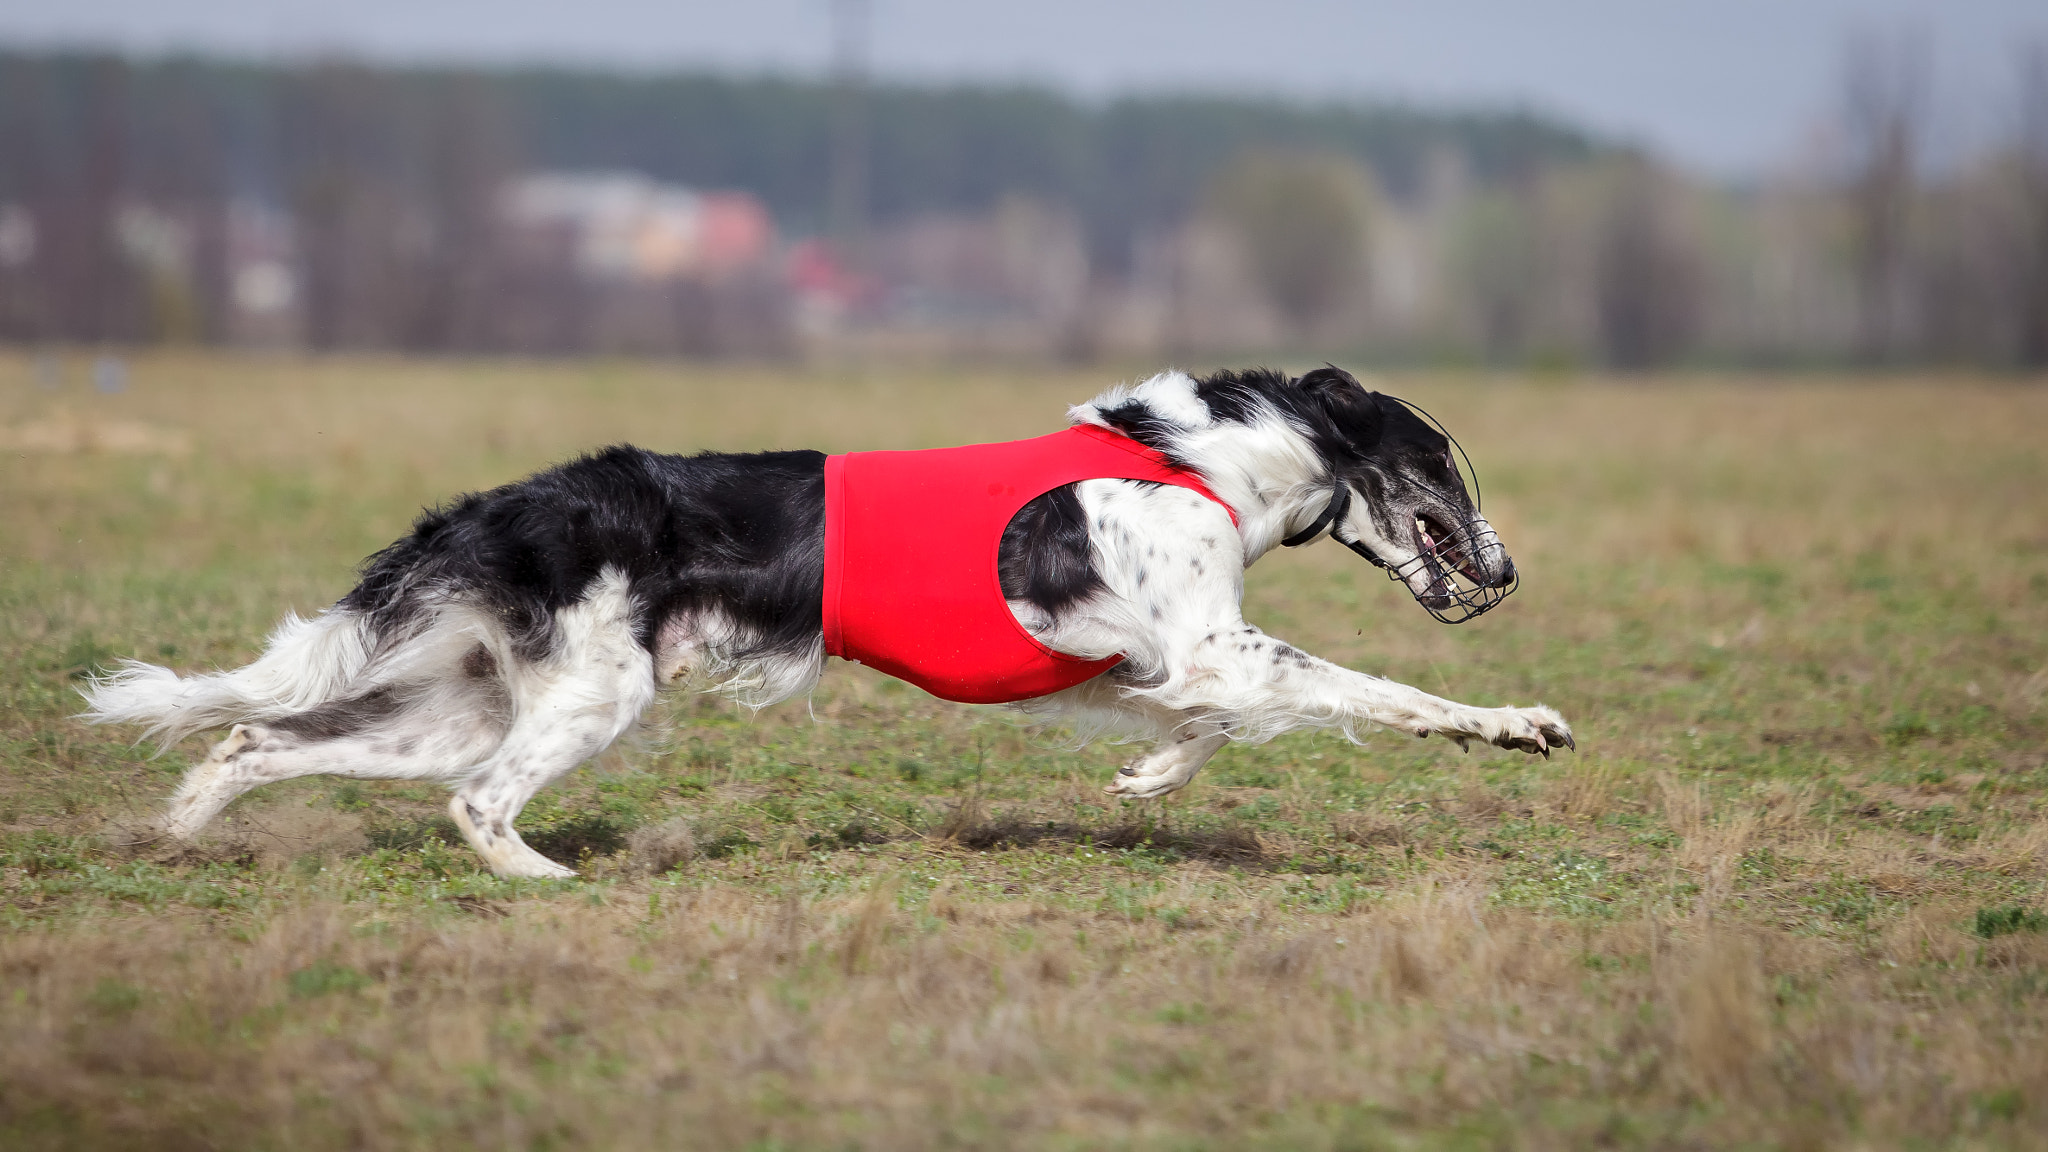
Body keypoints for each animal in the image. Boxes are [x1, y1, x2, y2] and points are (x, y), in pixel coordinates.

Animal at [83, 362, 1564, 873]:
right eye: (1444, 462)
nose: (1507, 572)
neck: (1201, 458)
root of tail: (507, 503)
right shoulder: (1207, 640)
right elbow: (1380, 694)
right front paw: (1518, 723)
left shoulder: (1139, 657)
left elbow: (1196, 724)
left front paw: (1148, 778)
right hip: (586, 698)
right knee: (476, 806)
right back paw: (549, 884)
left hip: (468, 701)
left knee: (256, 741)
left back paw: (183, 831)